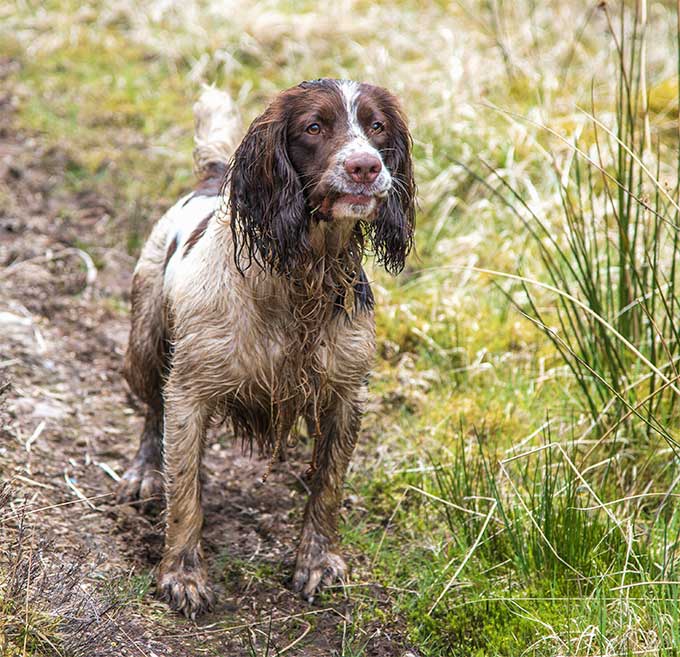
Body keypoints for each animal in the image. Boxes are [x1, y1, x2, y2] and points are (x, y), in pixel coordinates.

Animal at [117, 78, 414, 616]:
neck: (302, 276)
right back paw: (145, 473)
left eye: (377, 126)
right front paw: (183, 576)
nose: (366, 167)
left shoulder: (346, 394)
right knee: (152, 411)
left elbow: (328, 488)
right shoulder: (190, 392)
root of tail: (214, 177)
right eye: (314, 126)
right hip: (145, 344)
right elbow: (184, 495)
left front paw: (316, 562)